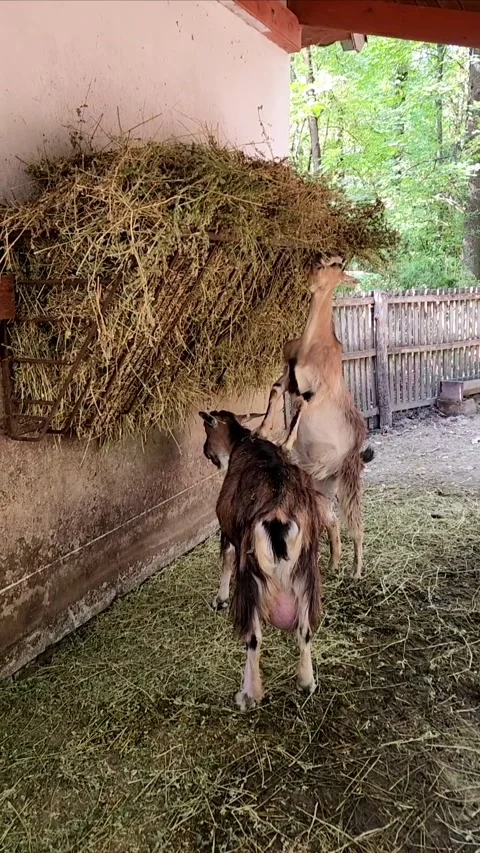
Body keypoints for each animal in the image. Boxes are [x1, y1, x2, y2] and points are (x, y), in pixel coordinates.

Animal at [199, 409, 328, 709]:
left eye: (207, 429)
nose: (205, 451)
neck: (242, 444)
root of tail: (279, 518)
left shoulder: (228, 530)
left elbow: (226, 557)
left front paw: (219, 599)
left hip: (252, 576)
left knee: (253, 636)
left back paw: (247, 694)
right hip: (306, 572)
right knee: (305, 629)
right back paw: (307, 682)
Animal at [258, 257, 374, 580]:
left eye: (337, 268)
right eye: (324, 262)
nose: (312, 278)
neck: (313, 343)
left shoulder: (316, 392)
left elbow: (301, 408)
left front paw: (285, 444)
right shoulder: (289, 377)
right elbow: (274, 392)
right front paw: (262, 430)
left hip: (349, 480)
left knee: (355, 524)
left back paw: (356, 571)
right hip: (321, 486)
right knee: (331, 519)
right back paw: (334, 564)